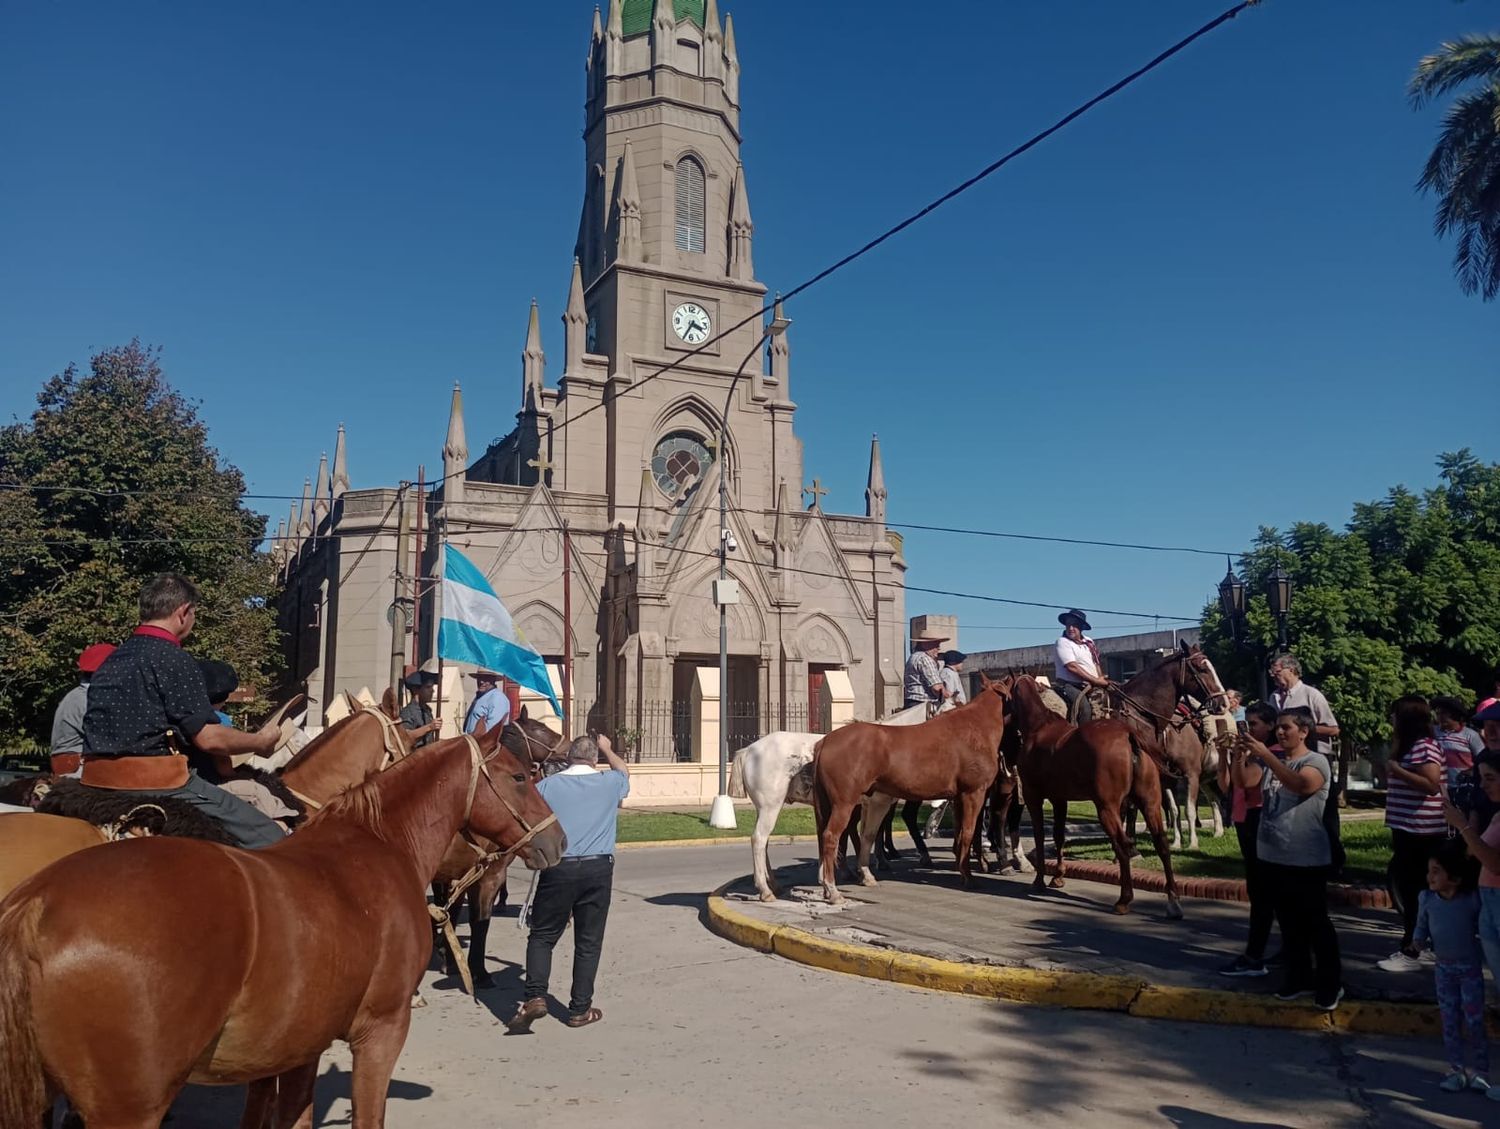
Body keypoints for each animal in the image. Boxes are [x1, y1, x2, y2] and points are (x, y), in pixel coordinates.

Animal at [0, 722, 564, 1127]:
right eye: (520, 777)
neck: (377, 843)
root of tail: (37, 904)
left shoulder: (297, 1048)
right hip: (128, 1109)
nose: (557, 839)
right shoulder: (381, 1032)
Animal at [726, 704, 936, 899]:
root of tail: (749, 750)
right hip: (771, 806)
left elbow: (858, 835)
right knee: (759, 839)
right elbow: (868, 834)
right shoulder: (877, 802)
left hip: (764, 808)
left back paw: (774, 885)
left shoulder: (862, 805)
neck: (888, 744)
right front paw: (863, 871)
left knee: (764, 842)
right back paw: (765, 889)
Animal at [810, 674, 1008, 905]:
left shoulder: (957, 798)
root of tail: (824, 741)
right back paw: (833, 889)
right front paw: (968, 875)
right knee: (831, 836)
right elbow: (968, 831)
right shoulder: (973, 793)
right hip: (844, 804)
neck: (973, 729)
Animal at [996, 677, 1182, 917]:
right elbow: (1058, 836)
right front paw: (1058, 877)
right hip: (1149, 803)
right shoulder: (1059, 799)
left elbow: (1039, 835)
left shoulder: (1033, 796)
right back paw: (1173, 900)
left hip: (1106, 808)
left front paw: (1039, 880)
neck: (1040, 726)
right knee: (1162, 844)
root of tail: (1127, 734)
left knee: (1122, 845)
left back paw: (1124, 899)